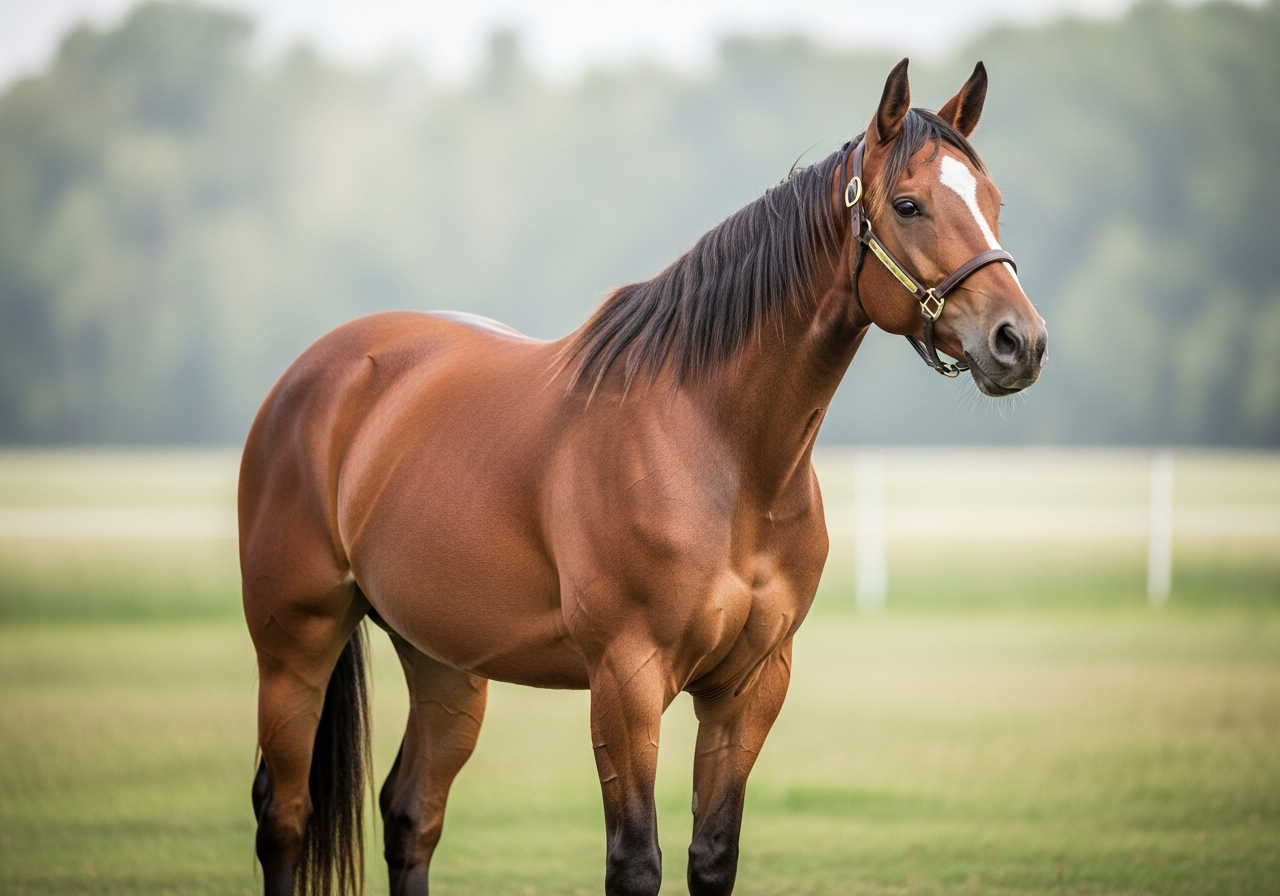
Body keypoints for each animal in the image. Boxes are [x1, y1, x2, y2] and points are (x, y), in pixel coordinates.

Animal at [240, 58, 1047, 896]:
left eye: (992, 202)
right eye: (909, 204)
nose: (1019, 341)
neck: (722, 454)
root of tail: (322, 370)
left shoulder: (750, 686)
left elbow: (713, 856)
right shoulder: (626, 682)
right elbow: (635, 862)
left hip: (443, 659)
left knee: (411, 813)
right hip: (296, 642)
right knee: (285, 814)